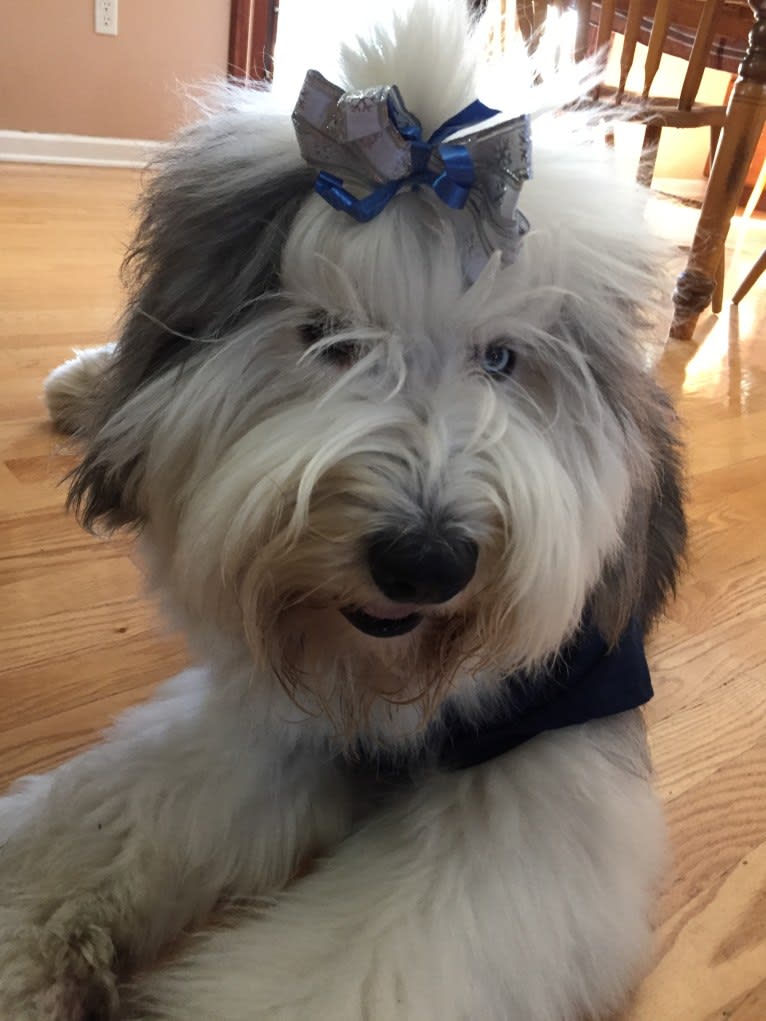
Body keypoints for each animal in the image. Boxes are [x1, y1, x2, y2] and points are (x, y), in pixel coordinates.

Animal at [0, 3, 686, 1016]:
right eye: (327, 338)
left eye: (502, 359)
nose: (425, 561)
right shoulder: (266, 708)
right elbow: (104, 811)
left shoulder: (545, 757)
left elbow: (369, 960)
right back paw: (87, 387)